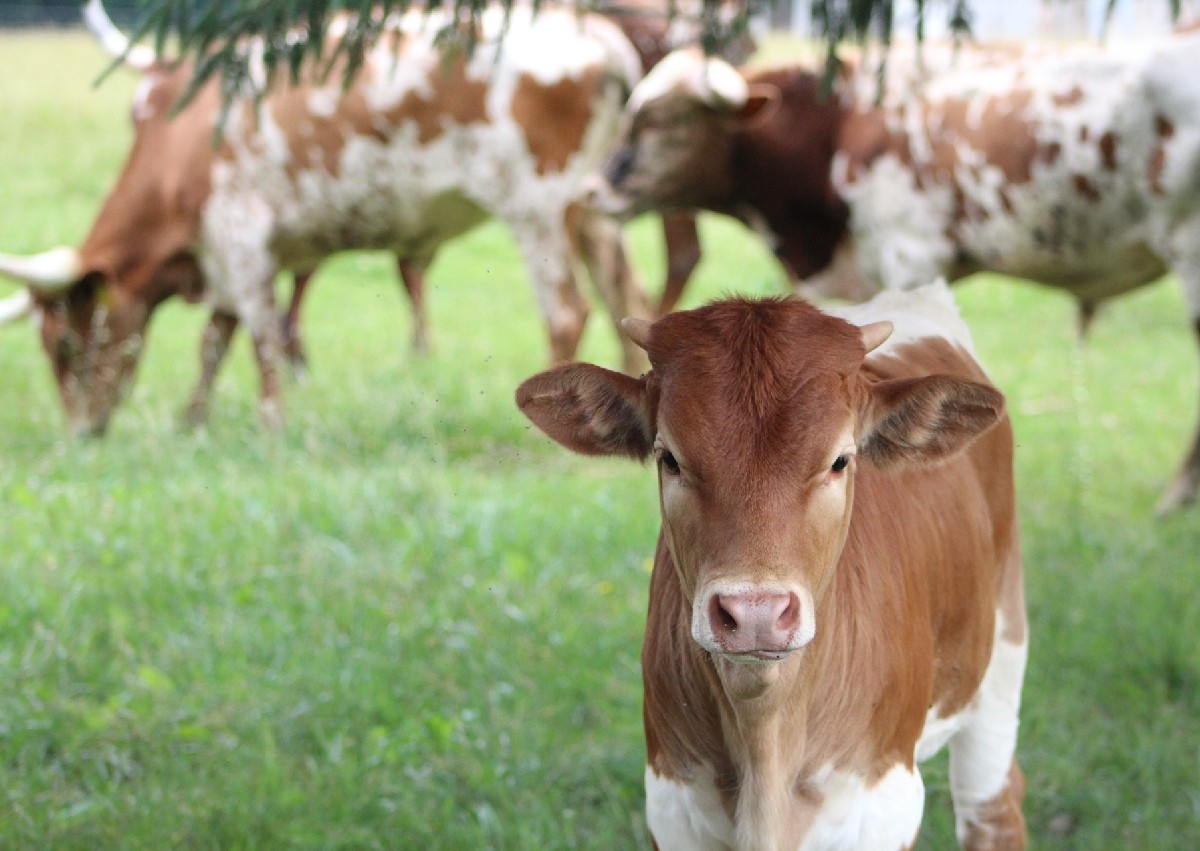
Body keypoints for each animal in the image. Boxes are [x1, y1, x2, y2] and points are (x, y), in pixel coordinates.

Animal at [0, 0, 650, 435]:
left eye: (63, 342)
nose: (82, 432)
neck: (182, 142)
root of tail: (595, 32)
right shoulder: (225, 252)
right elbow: (215, 341)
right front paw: (192, 421)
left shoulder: (243, 236)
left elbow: (260, 338)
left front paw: (271, 426)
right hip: (592, 213)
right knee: (623, 293)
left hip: (539, 208)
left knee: (566, 311)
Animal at [516, 283, 1027, 850]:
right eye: (669, 458)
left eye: (840, 460)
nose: (755, 614)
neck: (765, 741)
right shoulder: (671, 801)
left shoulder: (884, 802)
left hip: (1001, 656)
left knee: (992, 803)